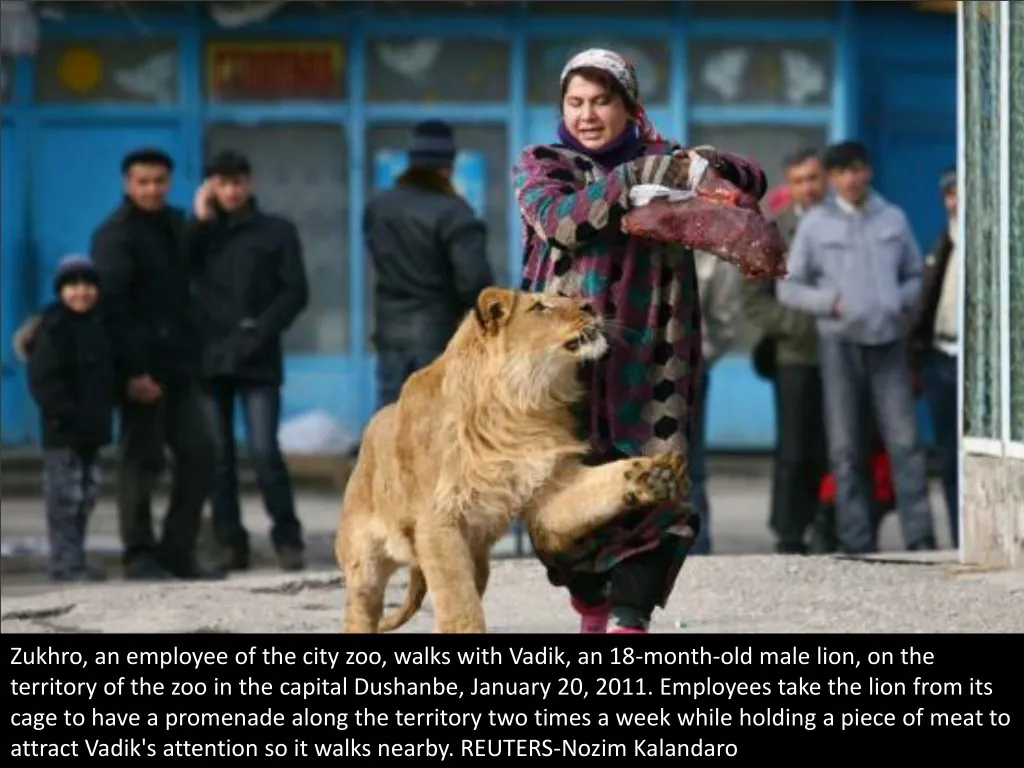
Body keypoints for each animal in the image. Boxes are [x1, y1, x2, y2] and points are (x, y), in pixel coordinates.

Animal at [335, 286, 688, 634]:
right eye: (540, 307)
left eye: (564, 296)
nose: (591, 304)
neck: (521, 405)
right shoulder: (437, 523)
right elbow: (460, 608)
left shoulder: (549, 487)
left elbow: (598, 488)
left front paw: (654, 476)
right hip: (364, 564)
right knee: (360, 610)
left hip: (477, 563)